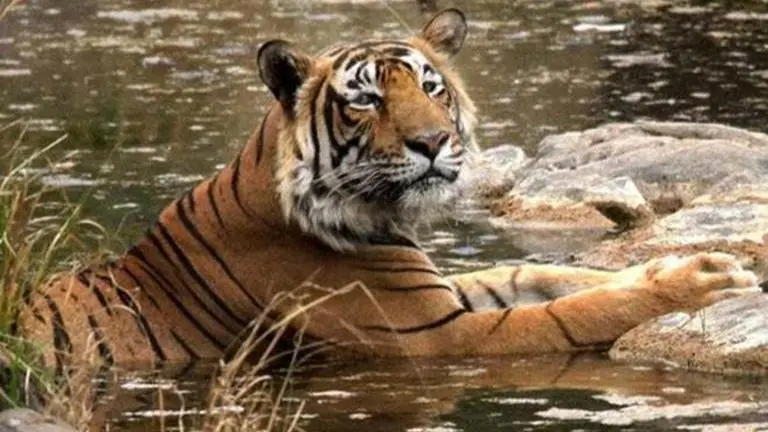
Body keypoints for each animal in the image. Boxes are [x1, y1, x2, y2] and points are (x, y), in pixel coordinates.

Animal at [18, 8, 760, 370]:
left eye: (431, 87)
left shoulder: (437, 292)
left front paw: (693, 262)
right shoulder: (435, 339)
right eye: (366, 100)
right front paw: (698, 282)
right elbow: (574, 312)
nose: (432, 142)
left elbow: (540, 272)